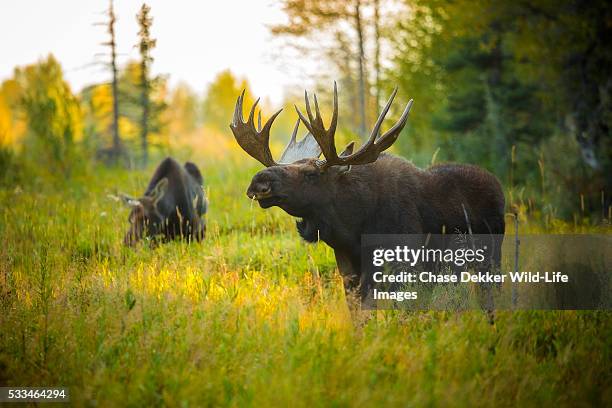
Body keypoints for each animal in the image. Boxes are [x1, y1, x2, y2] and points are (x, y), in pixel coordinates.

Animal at [232, 83, 504, 300]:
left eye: (311, 174)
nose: (259, 181)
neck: (354, 227)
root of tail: (498, 185)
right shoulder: (348, 267)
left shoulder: (406, 263)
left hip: (491, 257)